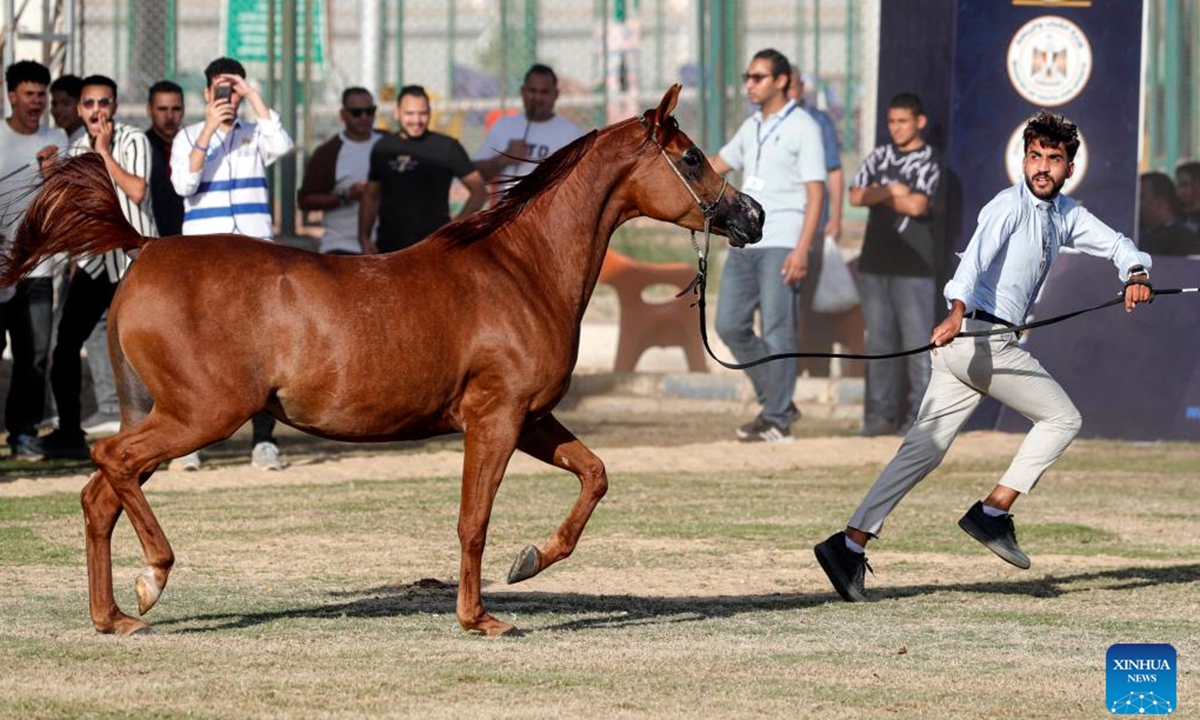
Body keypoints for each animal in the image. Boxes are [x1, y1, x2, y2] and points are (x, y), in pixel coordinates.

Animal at [1, 85, 763, 637]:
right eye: (691, 158)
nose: (750, 216)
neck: (519, 268)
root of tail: (147, 247)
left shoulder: (532, 419)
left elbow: (595, 475)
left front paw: (529, 561)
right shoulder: (496, 420)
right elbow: (473, 520)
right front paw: (481, 618)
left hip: (165, 414)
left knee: (102, 493)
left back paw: (114, 617)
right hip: (201, 414)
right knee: (113, 464)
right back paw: (151, 579)